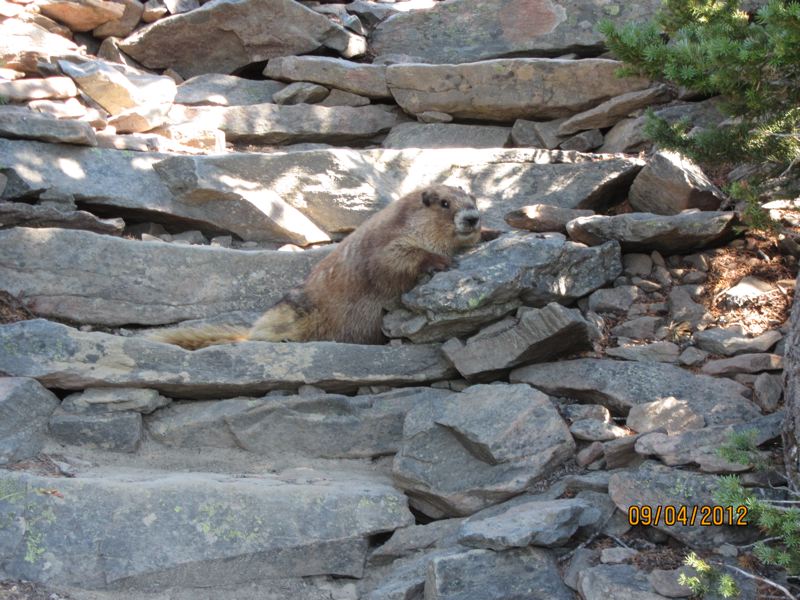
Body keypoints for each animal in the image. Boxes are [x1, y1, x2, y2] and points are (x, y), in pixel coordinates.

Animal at [151, 184, 482, 349]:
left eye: (474, 198)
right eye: (444, 203)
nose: (474, 217)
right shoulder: (390, 237)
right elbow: (393, 257)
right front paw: (438, 261)